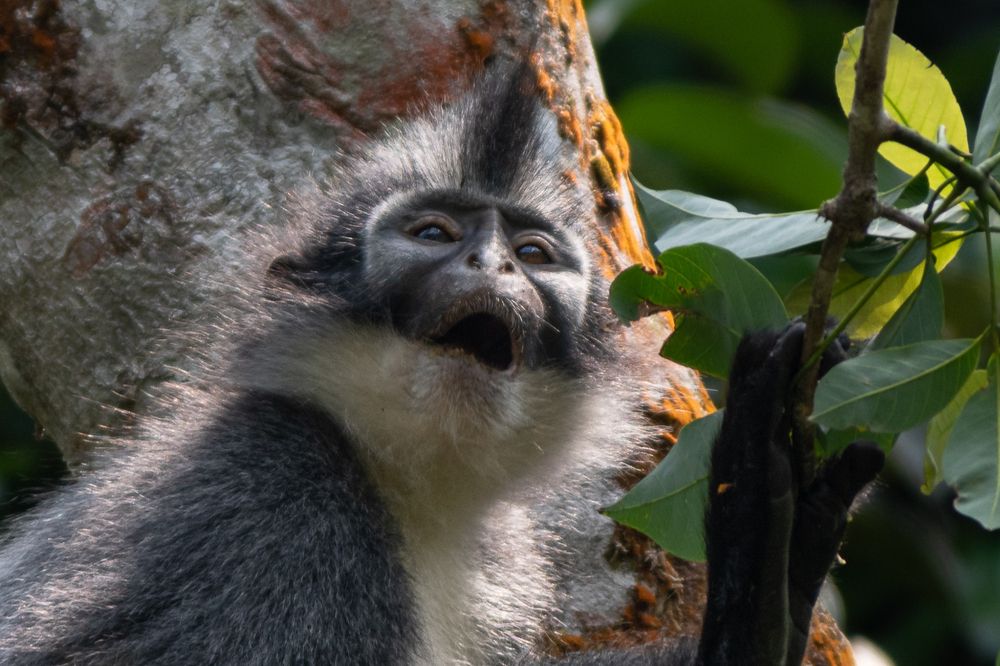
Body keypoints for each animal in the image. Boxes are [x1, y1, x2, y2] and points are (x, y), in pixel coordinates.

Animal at [0, 61, 882, 665]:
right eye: (433, 235)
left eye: (531, 255)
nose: (491, 267)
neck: (405, 491)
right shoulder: (276, 516)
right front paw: (762, 559)